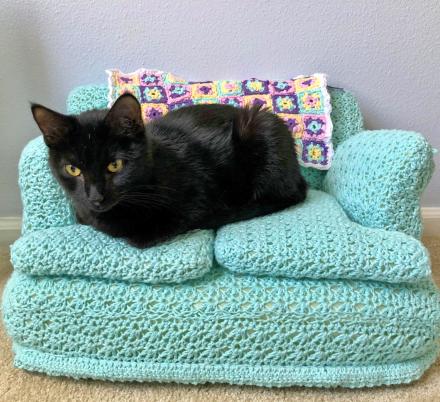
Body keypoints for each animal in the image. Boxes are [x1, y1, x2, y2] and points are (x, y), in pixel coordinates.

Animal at [31, 95, 306, 248]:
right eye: (73, 169)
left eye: (115, 165)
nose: (95, 197)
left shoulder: (200, 198)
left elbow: (146, 234)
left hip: (261, 127)